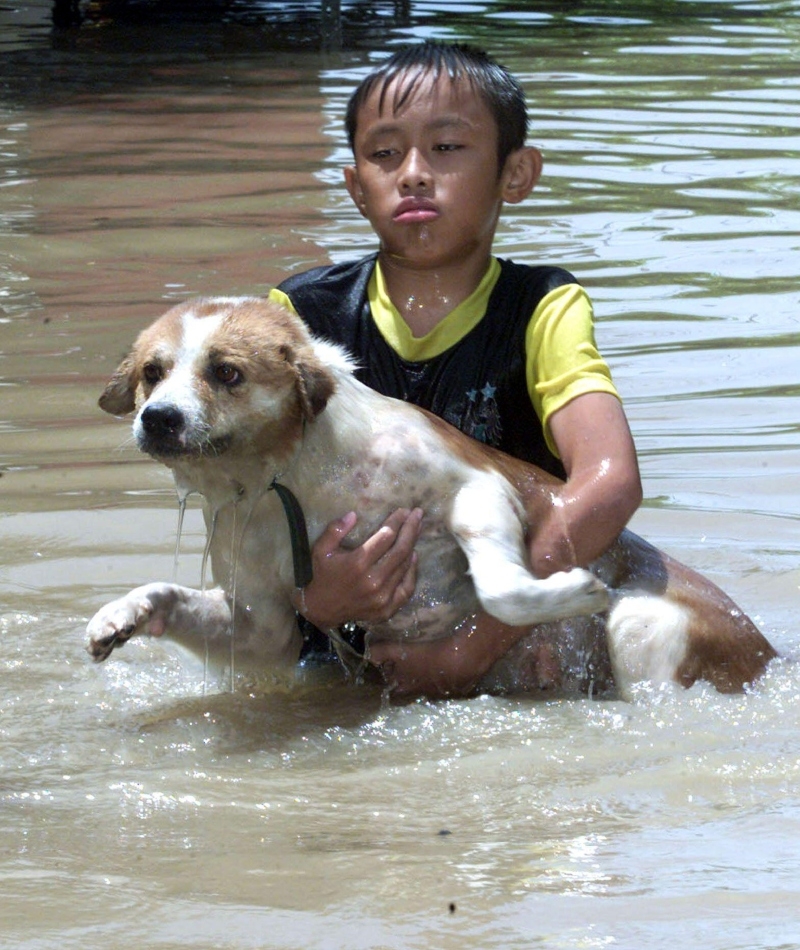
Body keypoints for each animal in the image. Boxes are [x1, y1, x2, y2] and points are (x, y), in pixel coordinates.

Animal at [86, 298, 776, 700]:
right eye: (153, 372)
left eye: (226, 372)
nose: (159, 418)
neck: (294, 475)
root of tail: (774, 654)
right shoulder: (262, 625)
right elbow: (174, 595)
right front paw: (123, 615)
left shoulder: (479, 487)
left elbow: (497, 586)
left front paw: (565, 592)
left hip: (641, 625)